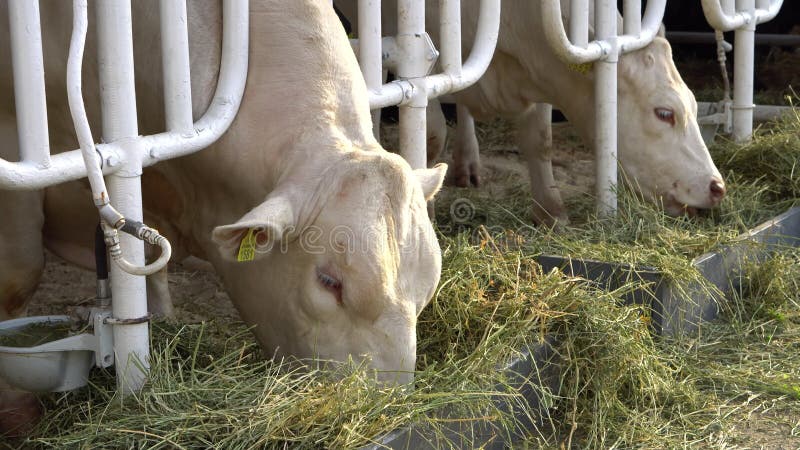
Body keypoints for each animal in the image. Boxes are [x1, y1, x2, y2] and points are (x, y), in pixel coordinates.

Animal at [334, 0, 728, 225]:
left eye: (694, 104)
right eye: (664, 113)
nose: (717, 187)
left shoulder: (536, 70)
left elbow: (540, 140)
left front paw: (551, 212)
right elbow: (431, 135)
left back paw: (469, 162)